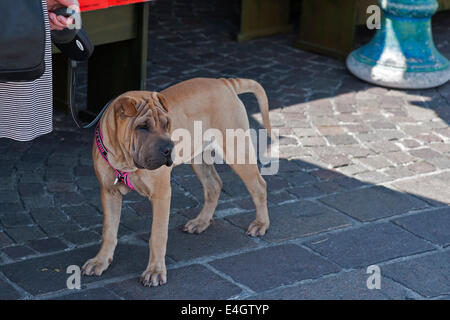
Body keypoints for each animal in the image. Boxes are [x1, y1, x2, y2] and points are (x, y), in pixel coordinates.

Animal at [82, 78, 272, 288]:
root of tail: (223, 82)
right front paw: (100, 261)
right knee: (214, 185)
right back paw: (201, 222)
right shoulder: (109, 192)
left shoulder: (161, 194)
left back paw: (261, 224)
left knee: (259, 186)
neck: (125, 161)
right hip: (199, 158)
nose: (168, 148)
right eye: (142, 126)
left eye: (167, 124)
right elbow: (108, 231)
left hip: (236, 151)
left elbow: (157, 236)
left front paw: (155, 271)